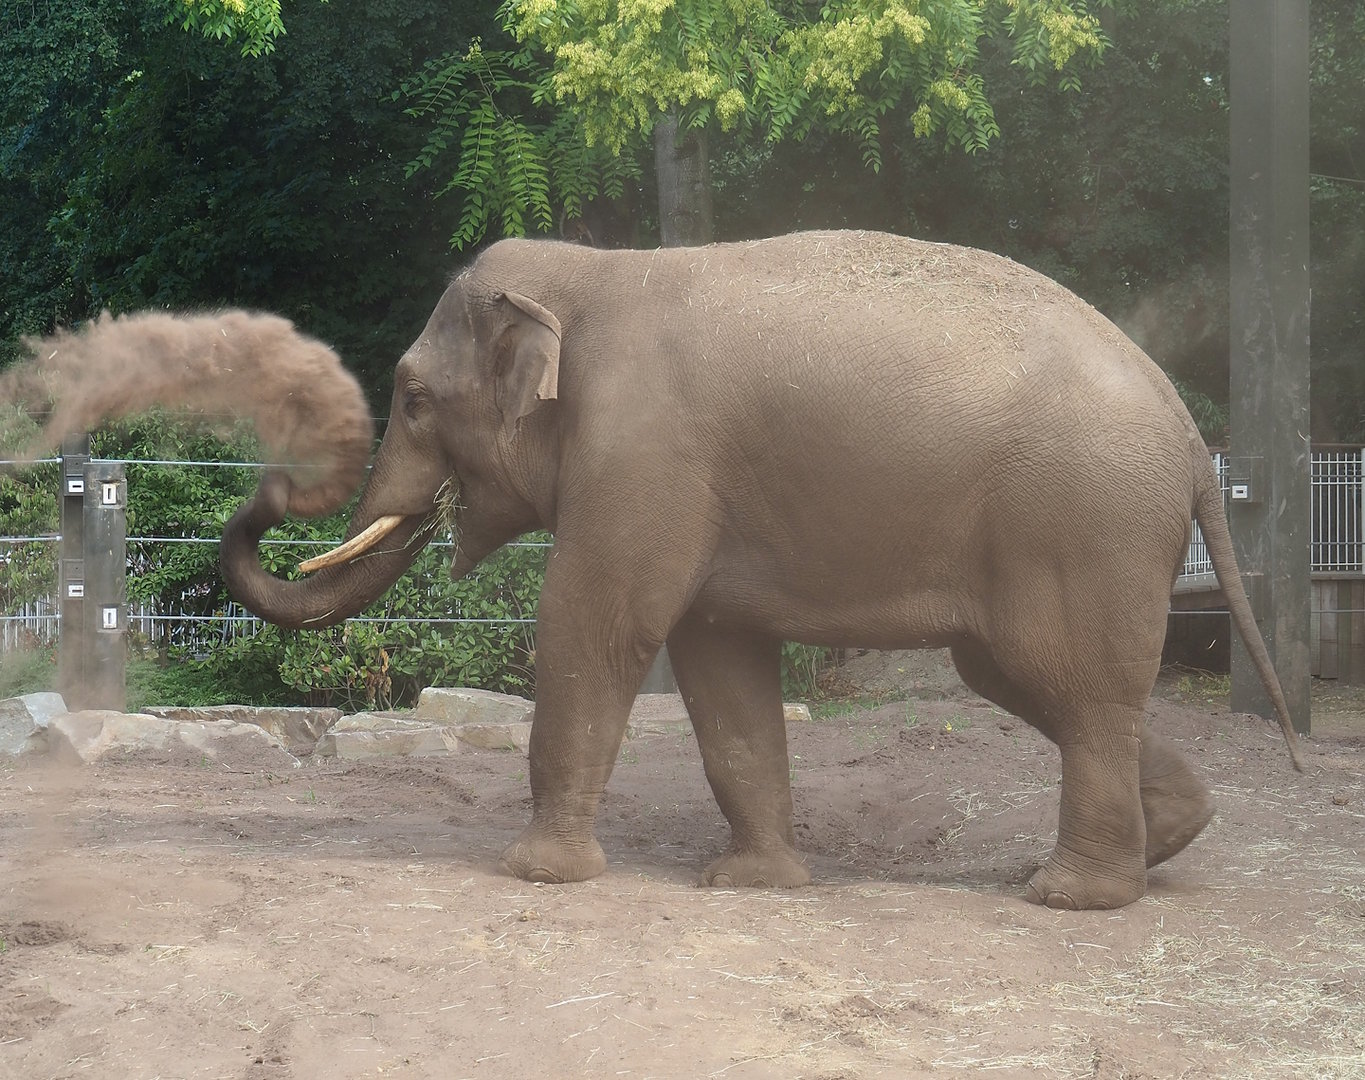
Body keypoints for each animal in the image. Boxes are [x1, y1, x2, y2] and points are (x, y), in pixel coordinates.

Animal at [221, 229, 1302, 910]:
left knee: (1069, 684)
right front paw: (751, 885)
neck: (593, 273)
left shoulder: (643, 453)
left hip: (1079, 526)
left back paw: (1073, 896)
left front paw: (536, 875)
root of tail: (1189, 435)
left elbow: (595, 624)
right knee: (1034, 683)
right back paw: (1169, 839)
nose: (268, 490)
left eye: (409, 396)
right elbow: (719, 662)